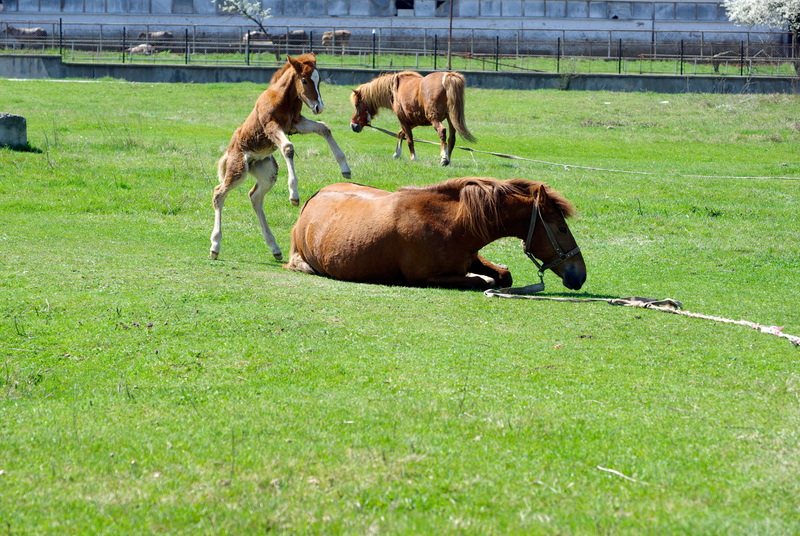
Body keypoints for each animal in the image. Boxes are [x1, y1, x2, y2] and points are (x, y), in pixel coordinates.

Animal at [211, 54, 352, 262]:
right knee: (219, 193)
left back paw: (274, 247)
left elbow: (324, 128)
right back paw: (215, 245)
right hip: (239, 169)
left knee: (255, 197)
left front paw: (345, 168)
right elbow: (288, 148)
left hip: (268, 171)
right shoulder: (271, 126)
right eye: (304, 80)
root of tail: (229, 151)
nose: (319, 107)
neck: (285, 99)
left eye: (319, 80)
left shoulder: (295, 124)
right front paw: (294, 194)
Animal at [284, 177, 584, 292]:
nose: (579, 275)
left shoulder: (471, 259)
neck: (451, 224)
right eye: (561, 228)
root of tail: (312, 199)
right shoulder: (426, 278)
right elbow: (482, 280)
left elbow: (503, 275)